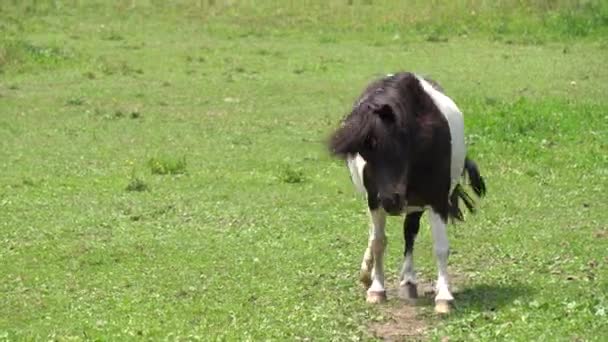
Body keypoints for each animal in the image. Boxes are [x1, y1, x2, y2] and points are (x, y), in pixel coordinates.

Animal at [328, 71, 484, 312]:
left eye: (397, 146)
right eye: (363, 152)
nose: (391, 201)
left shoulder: (437, 199)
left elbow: (440, 247)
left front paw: (444, 296)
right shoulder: (374, 200)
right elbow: (378, 242)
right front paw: (377, 289)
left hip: (415, 204)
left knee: (409, 232)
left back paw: (408, 281)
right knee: (378, 234)